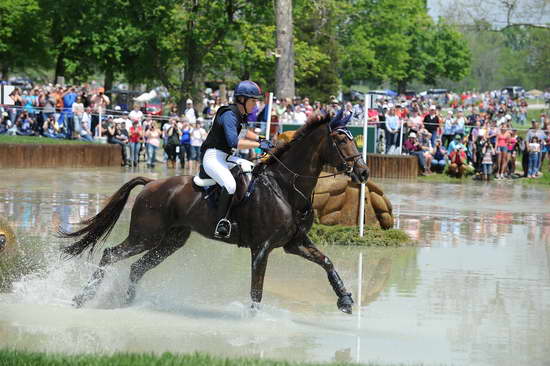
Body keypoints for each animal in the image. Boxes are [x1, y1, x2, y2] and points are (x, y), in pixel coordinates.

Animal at [60, 110, 370, 314]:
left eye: (352, 138)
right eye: (341, 140)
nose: (364, 173)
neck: (285, 187)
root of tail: (151, 183)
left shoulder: (294, 242)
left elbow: (326, 262)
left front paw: (345, 299)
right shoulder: (262, 248)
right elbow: (256, 291)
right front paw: (254, 320)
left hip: (171, 240)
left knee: (137, 267)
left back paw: (128, 303)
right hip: (145, 235)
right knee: (110, 254)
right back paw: (82, 298)